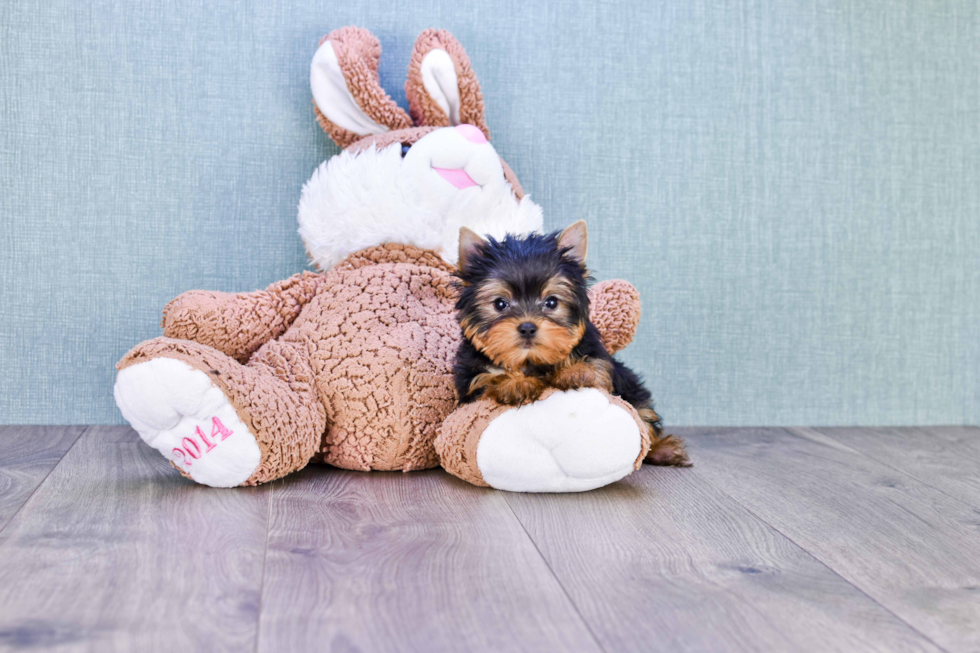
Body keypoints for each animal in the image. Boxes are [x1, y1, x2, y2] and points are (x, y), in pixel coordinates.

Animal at [452, 222, 688, 466]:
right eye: (500, 304)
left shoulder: (597, 353)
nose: (527, 327)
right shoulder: (471, 379)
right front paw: (515, 383)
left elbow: (597, 365)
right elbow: (488, 377)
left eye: (551, 302)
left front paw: (575, 371)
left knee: (643, 414)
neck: (531, 360)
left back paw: (663, 449)